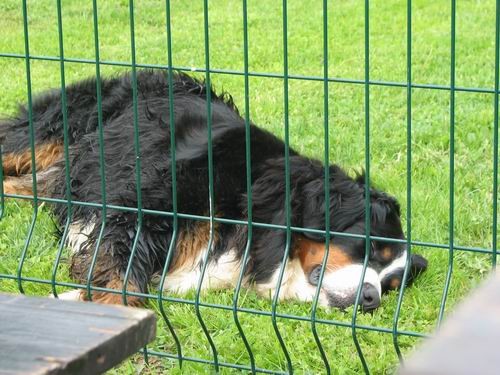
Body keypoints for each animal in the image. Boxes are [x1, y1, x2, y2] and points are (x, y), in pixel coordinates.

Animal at [1, 70, 428, 312]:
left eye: (391, 285)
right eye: (370, 247)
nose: (372, 299)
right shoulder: (143, 208)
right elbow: (124, 278)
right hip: (55, 128)